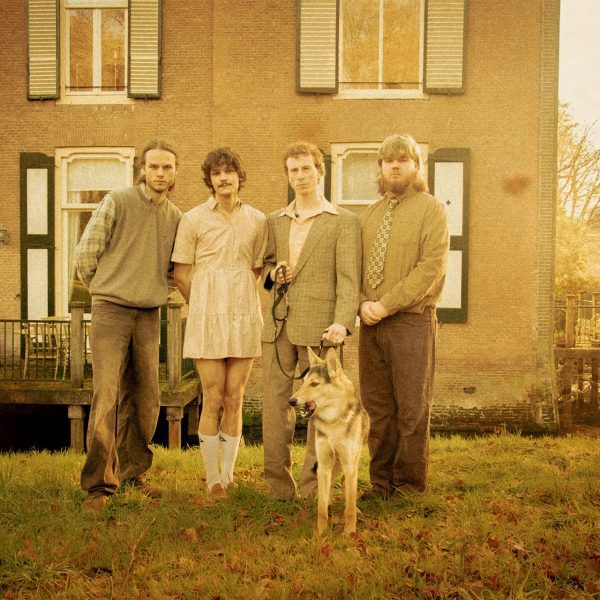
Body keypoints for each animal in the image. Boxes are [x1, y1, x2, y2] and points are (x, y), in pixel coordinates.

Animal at [289, 347, 370, 536]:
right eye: (303, 383)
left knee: (346, 486)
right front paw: (320, 534)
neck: (332, 423)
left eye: (314, 384)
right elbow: (321, 508)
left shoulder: (349, 465)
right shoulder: (324, 465)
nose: (291, 401)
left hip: (351, 462)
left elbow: (349, 506)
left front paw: (349, 533)